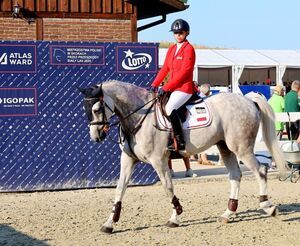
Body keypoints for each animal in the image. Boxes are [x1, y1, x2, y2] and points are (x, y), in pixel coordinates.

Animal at [79, 80, 288, 233]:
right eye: (86, 110)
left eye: (96, 109)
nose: (95, 136)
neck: (139, 116)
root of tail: (249, 101)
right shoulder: (128, 160)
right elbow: (119, 189)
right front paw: (109, 223)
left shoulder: (159, 160)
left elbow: (168, 187)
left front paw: (175, 217)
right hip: (225, 148)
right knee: (236, 176)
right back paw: (227, 214)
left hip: (241, 148)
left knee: (260, 170)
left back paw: (267, 206)